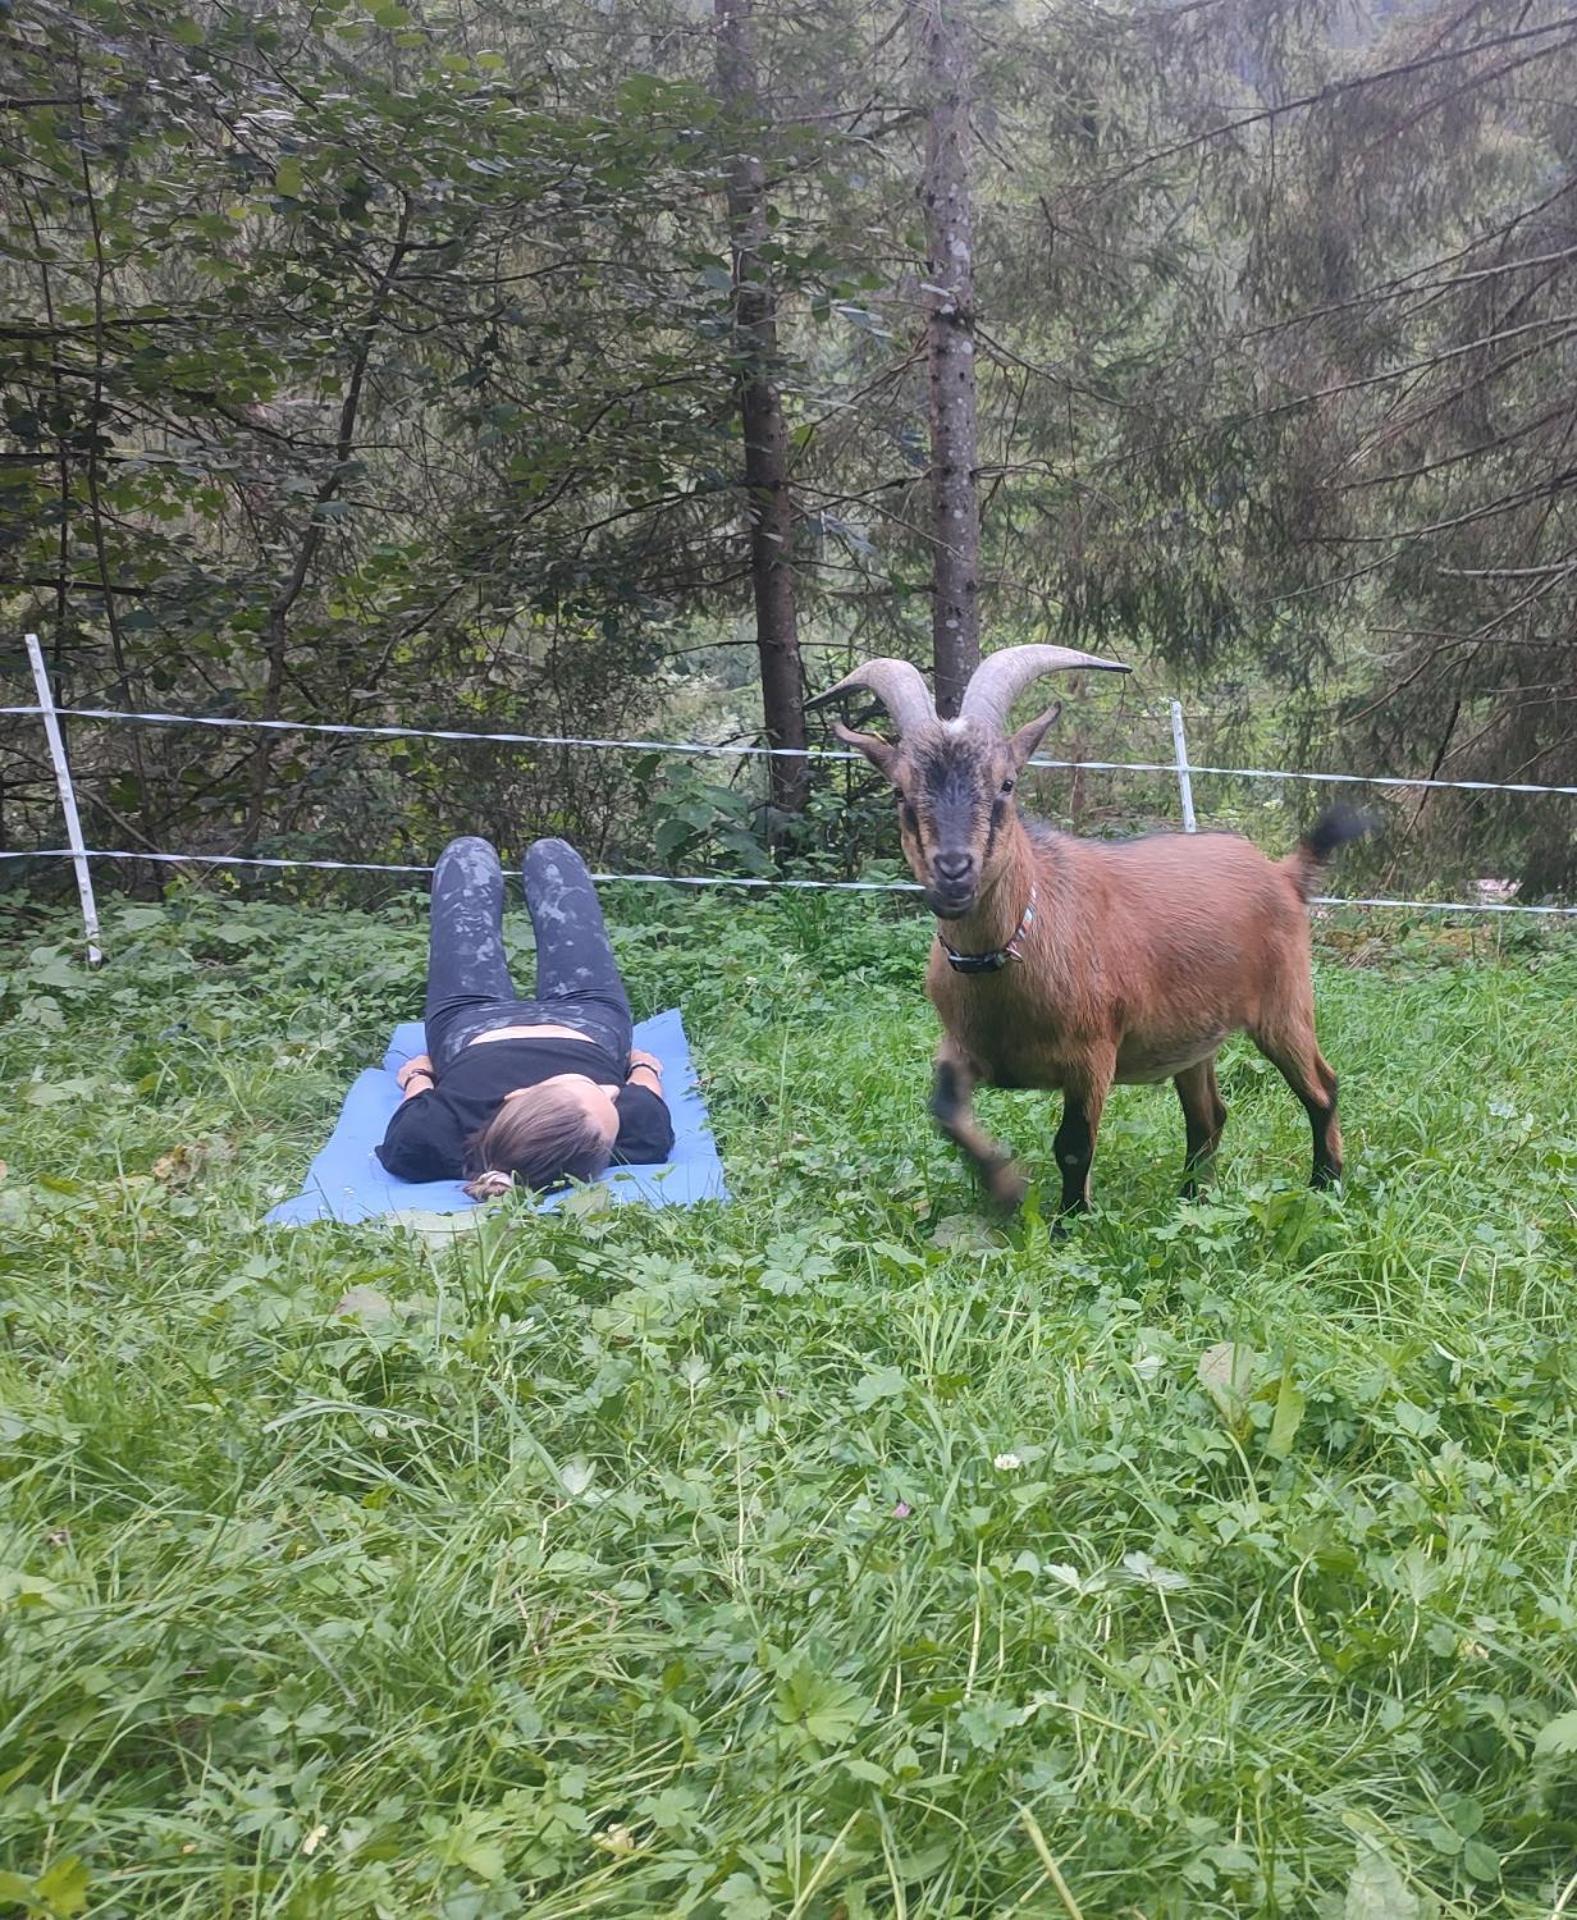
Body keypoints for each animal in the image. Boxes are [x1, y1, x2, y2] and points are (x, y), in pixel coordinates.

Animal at [818, 645, 1375, 1213]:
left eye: (1007, 782)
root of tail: (1283, 873)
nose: (954, 871)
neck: (1009, 958)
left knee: (1321, 1088)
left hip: (1284, 1007)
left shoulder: (1092, 1056)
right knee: (1208, 1116)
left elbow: (1073, 1145)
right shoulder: (964, 1048)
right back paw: (1190, 1200)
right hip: (1196, 1037)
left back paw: (1324, 1184)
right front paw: (1005, 1187)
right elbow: (945, 1112)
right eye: (899, 791)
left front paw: (1069, 1219)